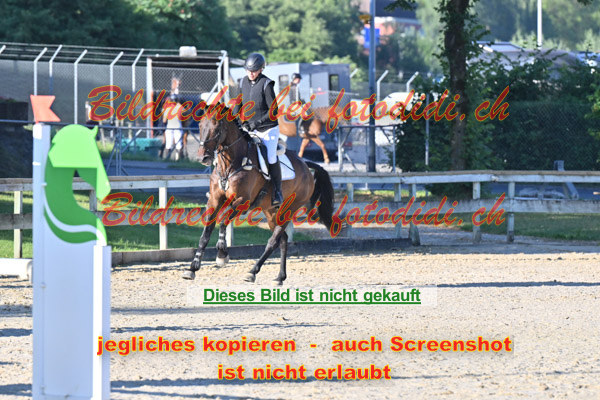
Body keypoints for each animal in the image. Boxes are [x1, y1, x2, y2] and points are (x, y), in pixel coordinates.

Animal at [182, 110, 335, 285]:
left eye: (217, 129)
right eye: (201, 126)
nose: (203, 158)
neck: (231, 164)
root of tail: (305, 165)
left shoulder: (242, 202)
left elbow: (222, 222)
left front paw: (222, 254)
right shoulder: (214, 200)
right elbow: (205, 233)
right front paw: (192, 268)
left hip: (290, 209)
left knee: (273, 241)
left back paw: (252, 271)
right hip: (271, 212)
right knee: (283, 240)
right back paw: (280, 277)